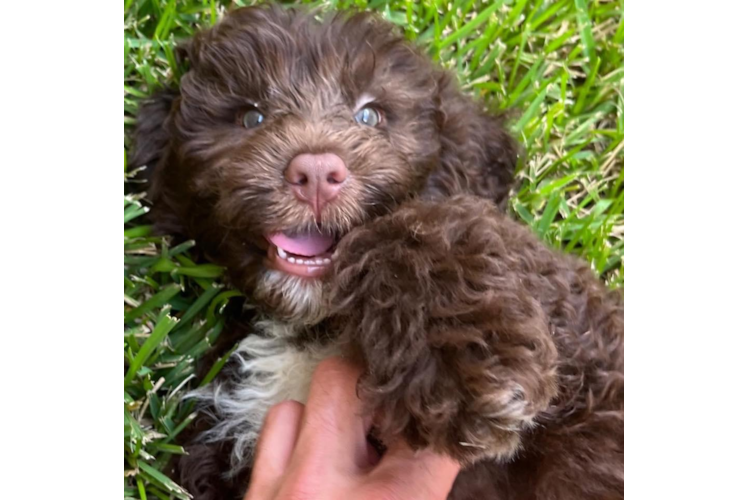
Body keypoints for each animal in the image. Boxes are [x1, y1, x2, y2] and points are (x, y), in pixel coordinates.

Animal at [131, 4, 624, 500]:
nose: (315, 172)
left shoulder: (587, 345)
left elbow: (420, 229)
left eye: (370, 116)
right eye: (252, 117)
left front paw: (464, 365)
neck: (315, 326)